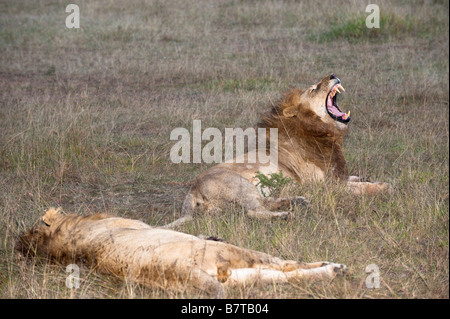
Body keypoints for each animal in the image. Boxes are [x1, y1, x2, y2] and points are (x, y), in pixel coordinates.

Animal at [15, 209, 346, 298]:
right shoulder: (140, 224)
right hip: (236, 255)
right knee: (287, 265)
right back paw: (334, 267)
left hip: (239, 277)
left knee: (286, 277)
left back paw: (333, 271)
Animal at [165, 73, 390, 228]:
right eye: (313, 89)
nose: (333, 75)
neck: (320, 131)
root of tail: (192, 192)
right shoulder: (323, 186)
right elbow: (363, 188)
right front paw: (383, 186)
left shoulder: (335, 176)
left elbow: (354, 178)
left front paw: (365, 177)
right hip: (240, 185)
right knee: (253, 212)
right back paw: (285, 214)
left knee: (264, 203)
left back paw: (297, 201)